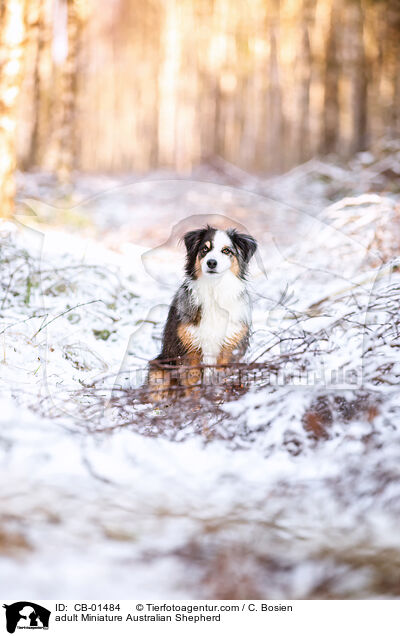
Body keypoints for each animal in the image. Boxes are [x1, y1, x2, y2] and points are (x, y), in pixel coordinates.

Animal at [148, 226, 258, 400]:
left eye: (226, 251)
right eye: (204, 249)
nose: (211, 262)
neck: (214, 290)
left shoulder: (229, 348)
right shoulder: (190, 350)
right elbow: (192, 384)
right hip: (158, 369)